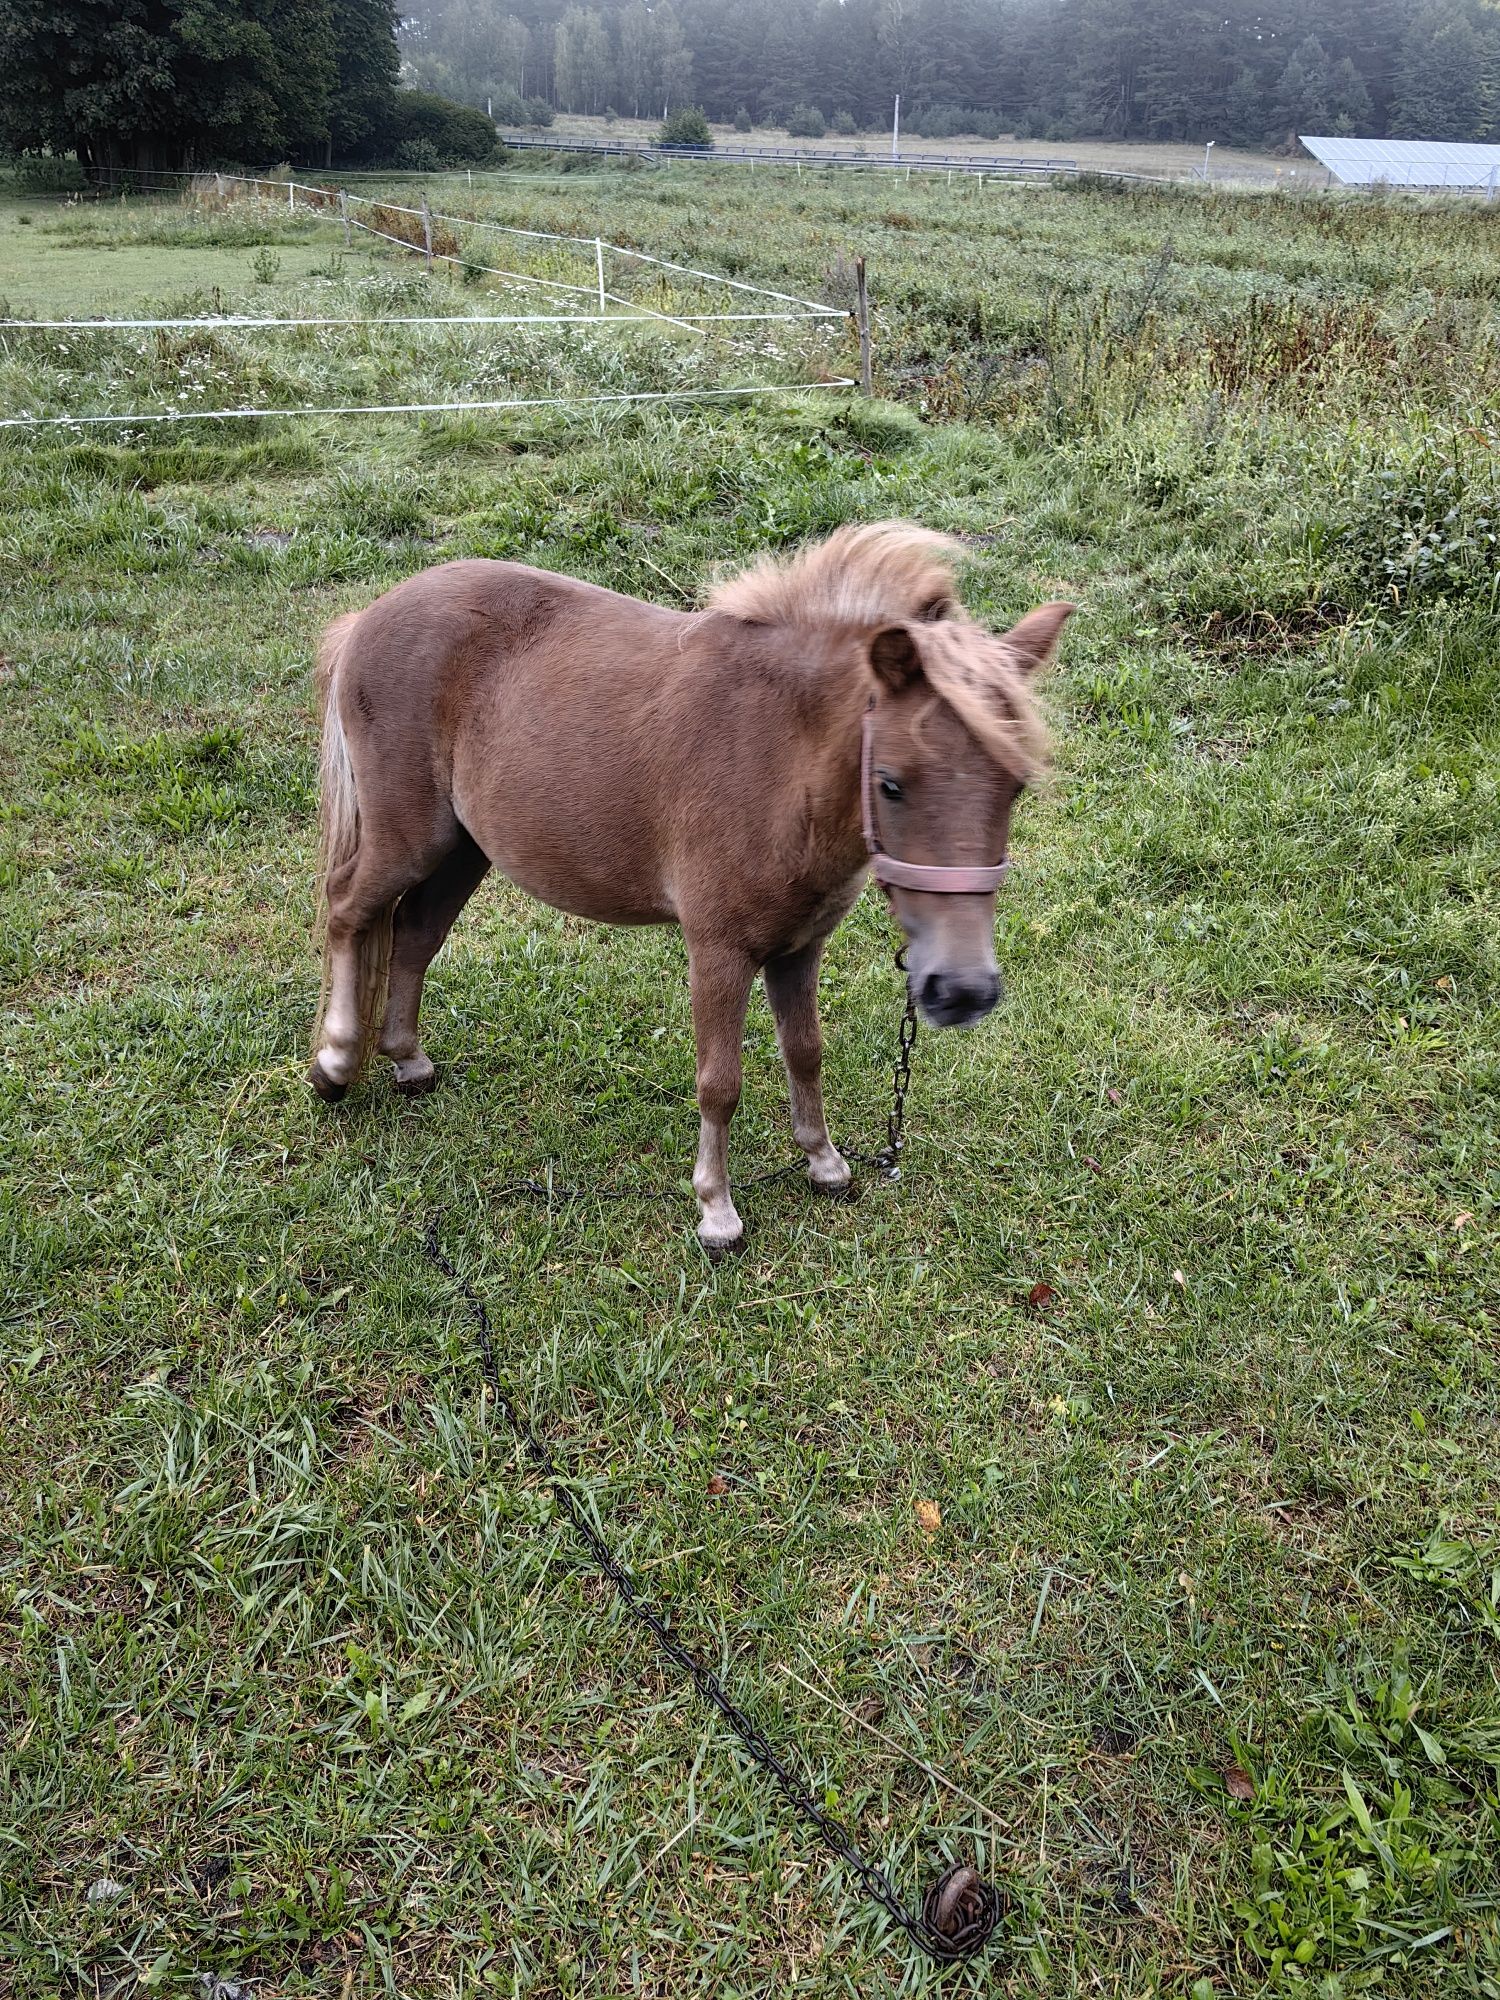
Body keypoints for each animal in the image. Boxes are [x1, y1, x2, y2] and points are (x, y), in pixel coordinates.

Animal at [312, 528, 1072, 1248]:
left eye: (1015, 784)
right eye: (890, 782)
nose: (962, 991)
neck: (777, 757)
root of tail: (370, 616)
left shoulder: (799, 949)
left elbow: (806, 1051)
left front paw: (824, 1163)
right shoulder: (718, 952)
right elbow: (720, 1084)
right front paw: (717, 1212)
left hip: (463, 850)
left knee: (415, 934)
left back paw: (408, 1061)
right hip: (408, 840)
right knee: (349, 911)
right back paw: (336, 1062)